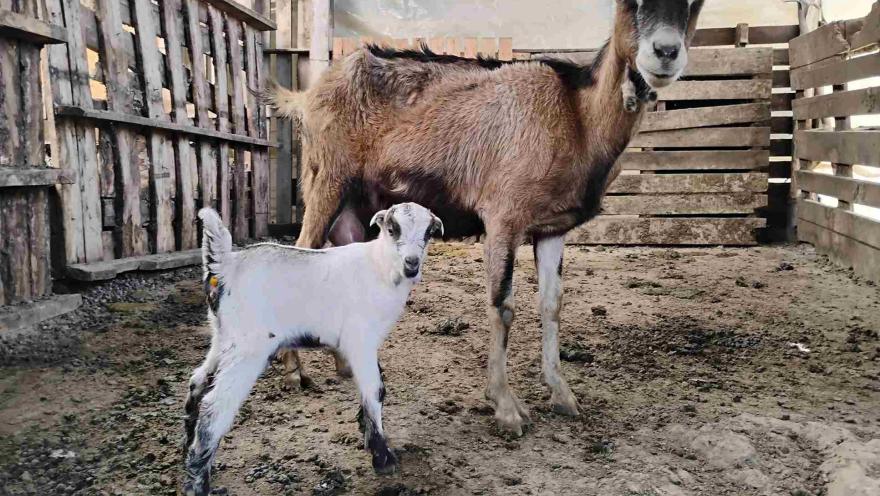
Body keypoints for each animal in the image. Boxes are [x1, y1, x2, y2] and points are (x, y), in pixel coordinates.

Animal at [181, 203, 443, 496]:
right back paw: (198, 483)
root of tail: (226, 265)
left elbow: (379, 387)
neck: (380, 266)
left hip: (224, 337)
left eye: (429, 232)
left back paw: (188, 449)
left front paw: (365, 431)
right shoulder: (360, 338)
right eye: (391, 228)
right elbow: (374, 390)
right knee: (215, 408)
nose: (412, 265)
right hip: (249, 347)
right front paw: (382, 457)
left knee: (197, 381)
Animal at [269, 0, 706, 436]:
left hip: (356, 206)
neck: (576, 116)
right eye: (631, 4)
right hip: (326, 180)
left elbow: (552, 304)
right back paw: (295, 372)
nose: (665, 52)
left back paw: (346, 364)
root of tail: (307, 96)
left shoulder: (553, 228)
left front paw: (562, 394)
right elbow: (502, 305)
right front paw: (506, 407)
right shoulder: (503, 215)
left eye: (692, 4)